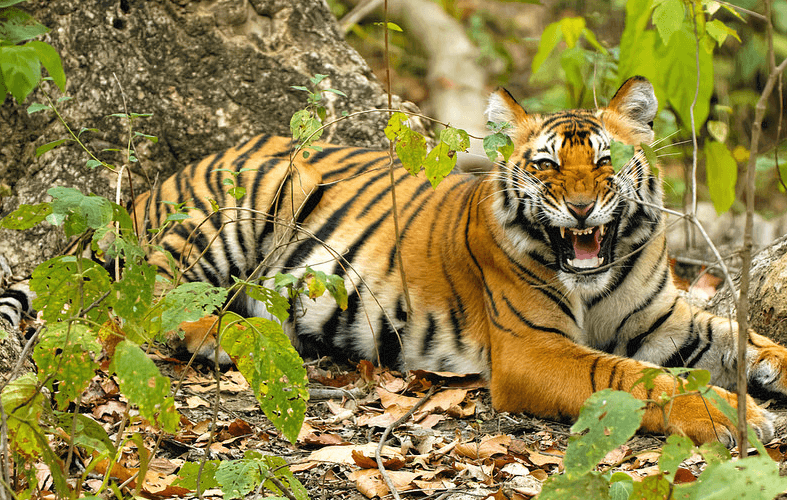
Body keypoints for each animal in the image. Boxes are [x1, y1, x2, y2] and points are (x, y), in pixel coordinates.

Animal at [9, 75, 784, 446]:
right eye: (544, 167)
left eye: (603, 162)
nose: (583, 209)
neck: (598, 275)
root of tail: (145, 191)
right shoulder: (532, 350)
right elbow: (631, 376)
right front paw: (733, 414)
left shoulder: (665, 317)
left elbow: (743, 337)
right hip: (235, 205)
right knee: (136, 310)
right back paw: (214, 341)